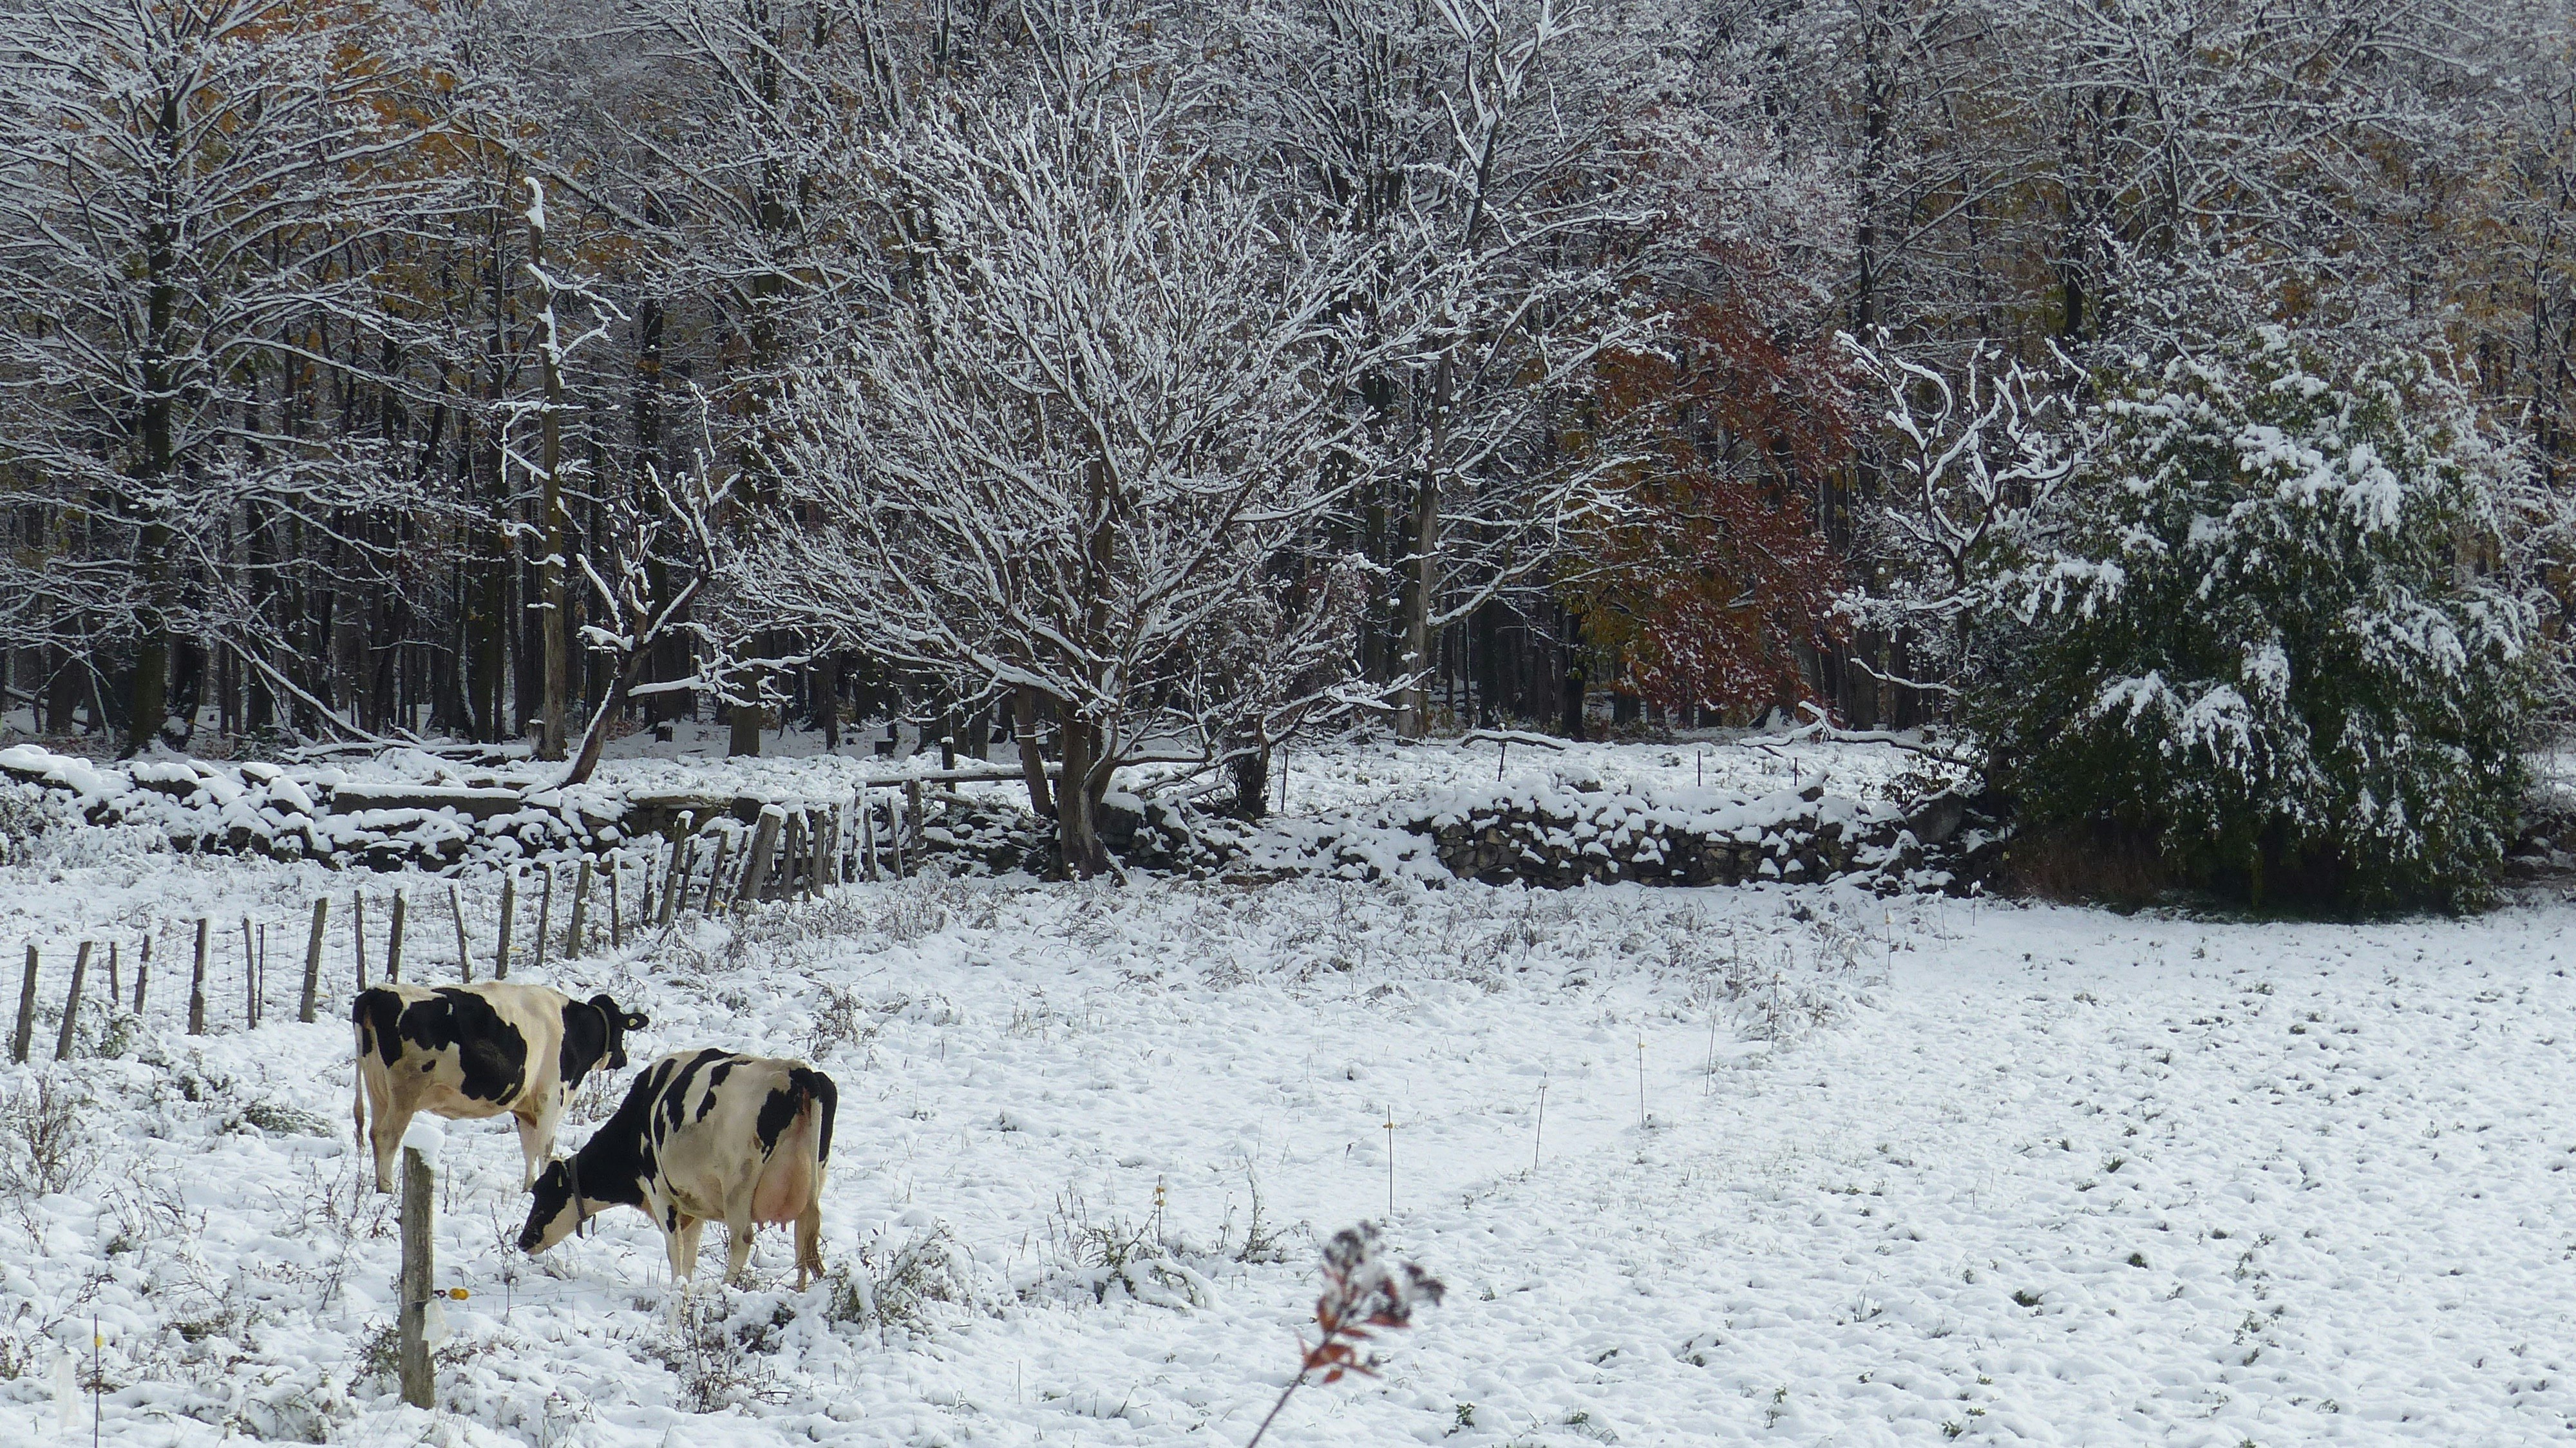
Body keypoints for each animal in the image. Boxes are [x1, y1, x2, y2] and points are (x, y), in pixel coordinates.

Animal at [350, 974, 649, 1190]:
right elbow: (545, 1148)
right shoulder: (552, 1097)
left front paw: (529, 1189)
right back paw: (388, 1190)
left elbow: (528, 1148)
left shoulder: (525, 1104)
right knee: (388, 1136)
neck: (573, 1029)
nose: (622, 1059)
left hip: (378, 1088)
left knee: (374, 1133)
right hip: (406, 1090)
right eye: (622, 1029)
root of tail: (376, 992)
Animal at [518, 1046, 840, 1283]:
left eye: (543, 1194)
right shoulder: (692, 1205)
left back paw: (724, 1291)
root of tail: (796, 1071)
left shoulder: (660, 1191)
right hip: (811, 1185)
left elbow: (676, 1252)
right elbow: (690, 1256)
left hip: (738, 1186)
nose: (523, 1241)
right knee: (804, 1242)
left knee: (742, 1239)